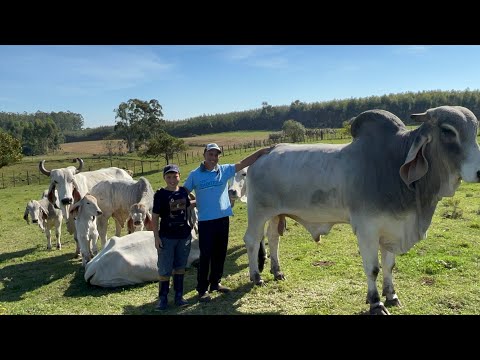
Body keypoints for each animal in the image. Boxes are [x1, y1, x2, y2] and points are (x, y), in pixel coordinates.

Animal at [242, 105, 480, 314]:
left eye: (474, 130)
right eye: (448, 130)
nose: (479, 172)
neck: (393, 166)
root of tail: (268, 150)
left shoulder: (390, 228)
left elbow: (389, 265)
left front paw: (391, 295)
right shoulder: (367, 230)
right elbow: (373, 269)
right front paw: (376, 303)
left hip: (275, 214)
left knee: (273, 239)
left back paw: (277, 272)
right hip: (258, 212)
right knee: (252, 240)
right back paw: (256, 277)